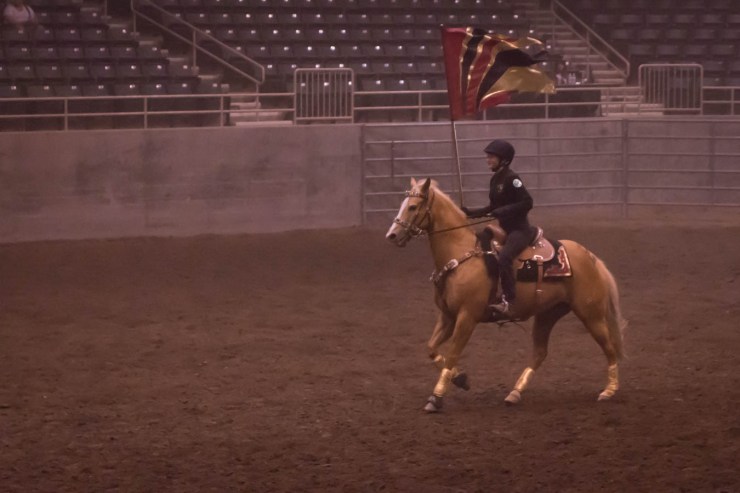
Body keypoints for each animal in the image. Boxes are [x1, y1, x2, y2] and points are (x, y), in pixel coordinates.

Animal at [385, 177, 627, 413]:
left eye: (413, 206)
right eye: (403, 204)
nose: (392, 235)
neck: (461, 255)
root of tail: (590, 257)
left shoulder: (467, 317)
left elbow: (453, 353)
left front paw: (436, 397)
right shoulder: (448, 316)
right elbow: (431, 348)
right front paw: (460, 379)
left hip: (591, 314)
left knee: (609, 347)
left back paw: (609, 390)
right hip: (548, 314)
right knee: (540, 353)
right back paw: (514, 393)